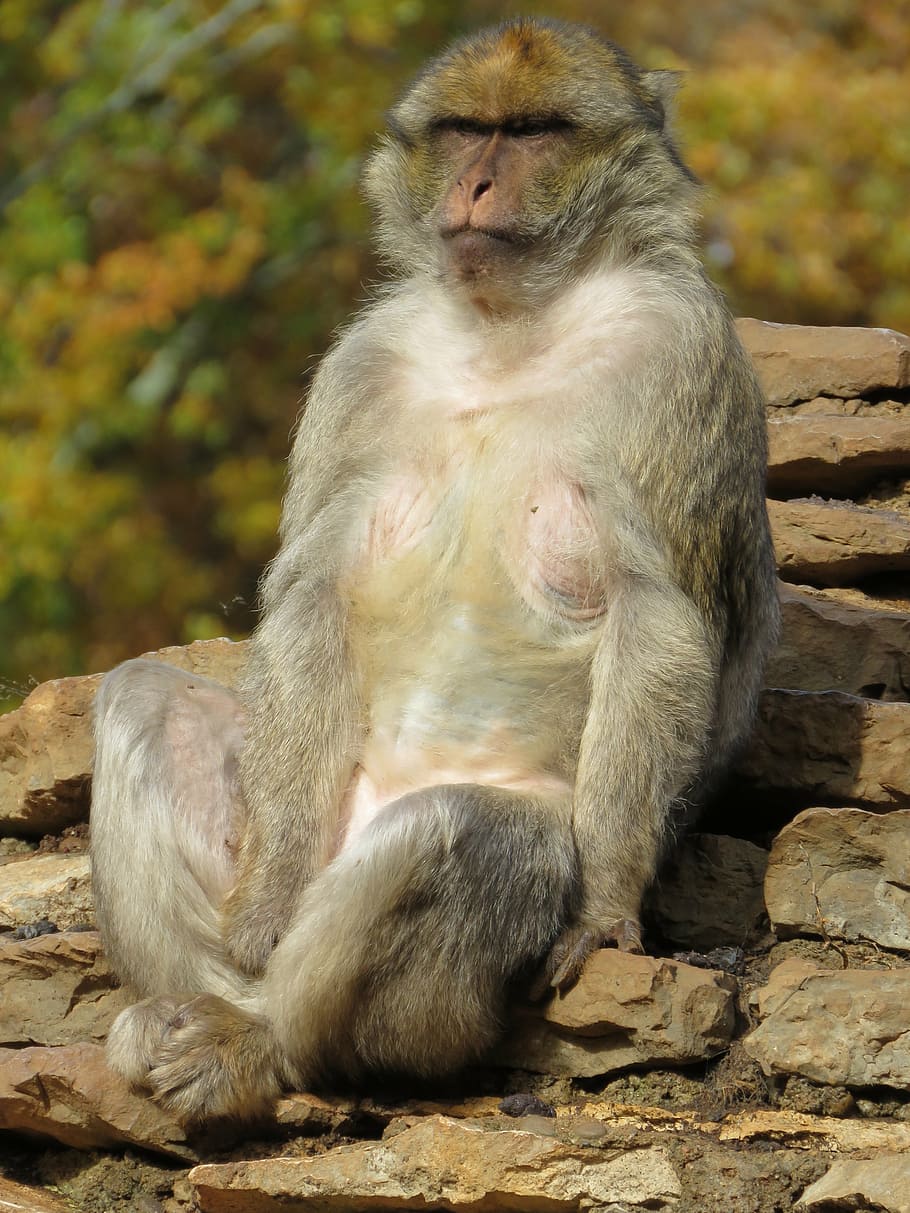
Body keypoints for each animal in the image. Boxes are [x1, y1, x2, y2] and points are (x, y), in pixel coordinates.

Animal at [90, 18, 778, 1121]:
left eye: (533, 131)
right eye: (463, 130)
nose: (477, 184)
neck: (511, 325)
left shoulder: (680, 350)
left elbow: (658, 615)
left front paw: (607, 906)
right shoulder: (362, 362)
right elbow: (311, 595)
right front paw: (265, 894)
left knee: (467, 829)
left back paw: (273, 1045)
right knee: (143, 697)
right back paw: (198, 1005)